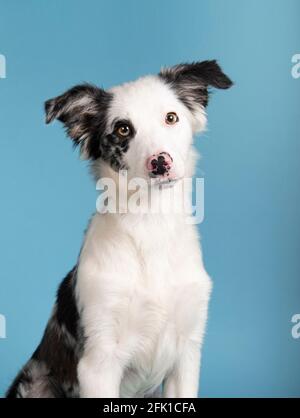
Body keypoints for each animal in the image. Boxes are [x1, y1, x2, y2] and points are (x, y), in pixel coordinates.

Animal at [6, 59, 232, 398]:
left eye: (171, 117)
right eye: (123, 129)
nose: (160, 163)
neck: (151, 224)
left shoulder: (187, 354)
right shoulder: (99, 361)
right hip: (35, 382)